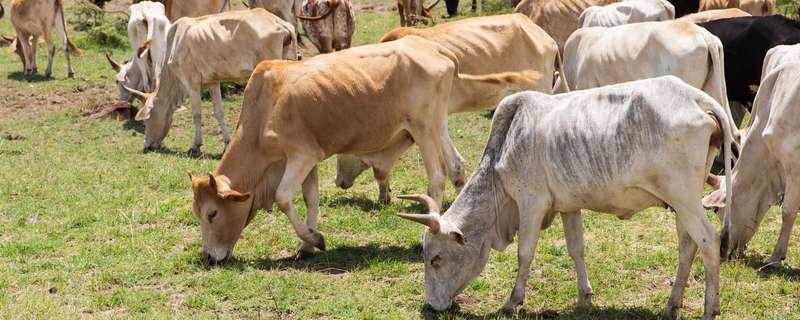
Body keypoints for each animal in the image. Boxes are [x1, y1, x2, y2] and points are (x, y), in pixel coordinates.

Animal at [188, 36, 544, 264]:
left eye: (212, 213)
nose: (208, 257)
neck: (264, 108)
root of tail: (438, 52)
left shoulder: (300, 157)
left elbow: (284, 197)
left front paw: (314, 239)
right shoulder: (310, 157)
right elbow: (310, 197)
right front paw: (306, 245)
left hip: (423, 128)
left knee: (438, 177)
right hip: (437, 124)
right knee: (456, 167)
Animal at [396, 75, 736, 320]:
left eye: (436, 259)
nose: (431, 305)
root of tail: (699, 98)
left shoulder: (531, 203)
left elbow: (525, 253)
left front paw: (512, 302)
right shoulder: (569, 207)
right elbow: (576, 249)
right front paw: (584, 297)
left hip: (684, 198)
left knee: (708, 241)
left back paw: (710, 309)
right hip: (680, 203)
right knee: (687, 245)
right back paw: (671, 304)